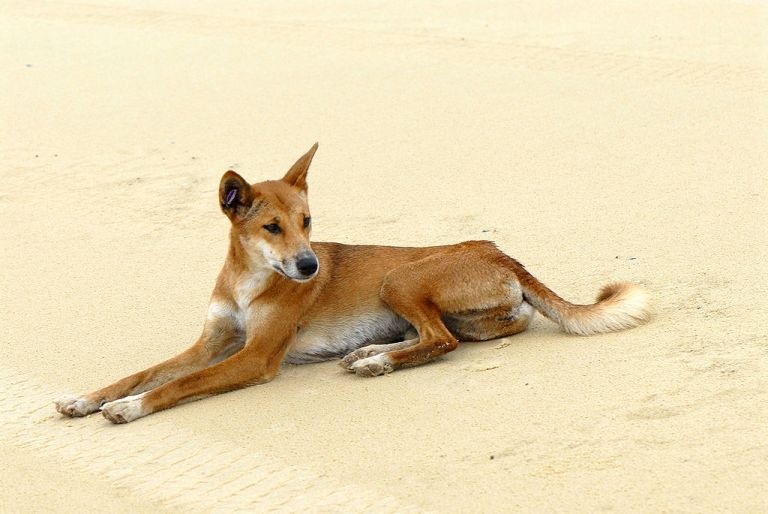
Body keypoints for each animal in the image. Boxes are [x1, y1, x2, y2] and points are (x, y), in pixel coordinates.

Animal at [54, 143, 648, 420]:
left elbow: (176, 384)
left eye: (308, 221)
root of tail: (497, 250)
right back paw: (371, 353)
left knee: (441, 340)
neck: (250, 279)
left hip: (399, 278)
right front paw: (87, 399)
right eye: (272, 227)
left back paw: (376, 362)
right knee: (457, 331)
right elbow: (142, 373)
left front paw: (129, 409)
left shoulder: (255, 356)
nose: (310, 267)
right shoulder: (211, 342)